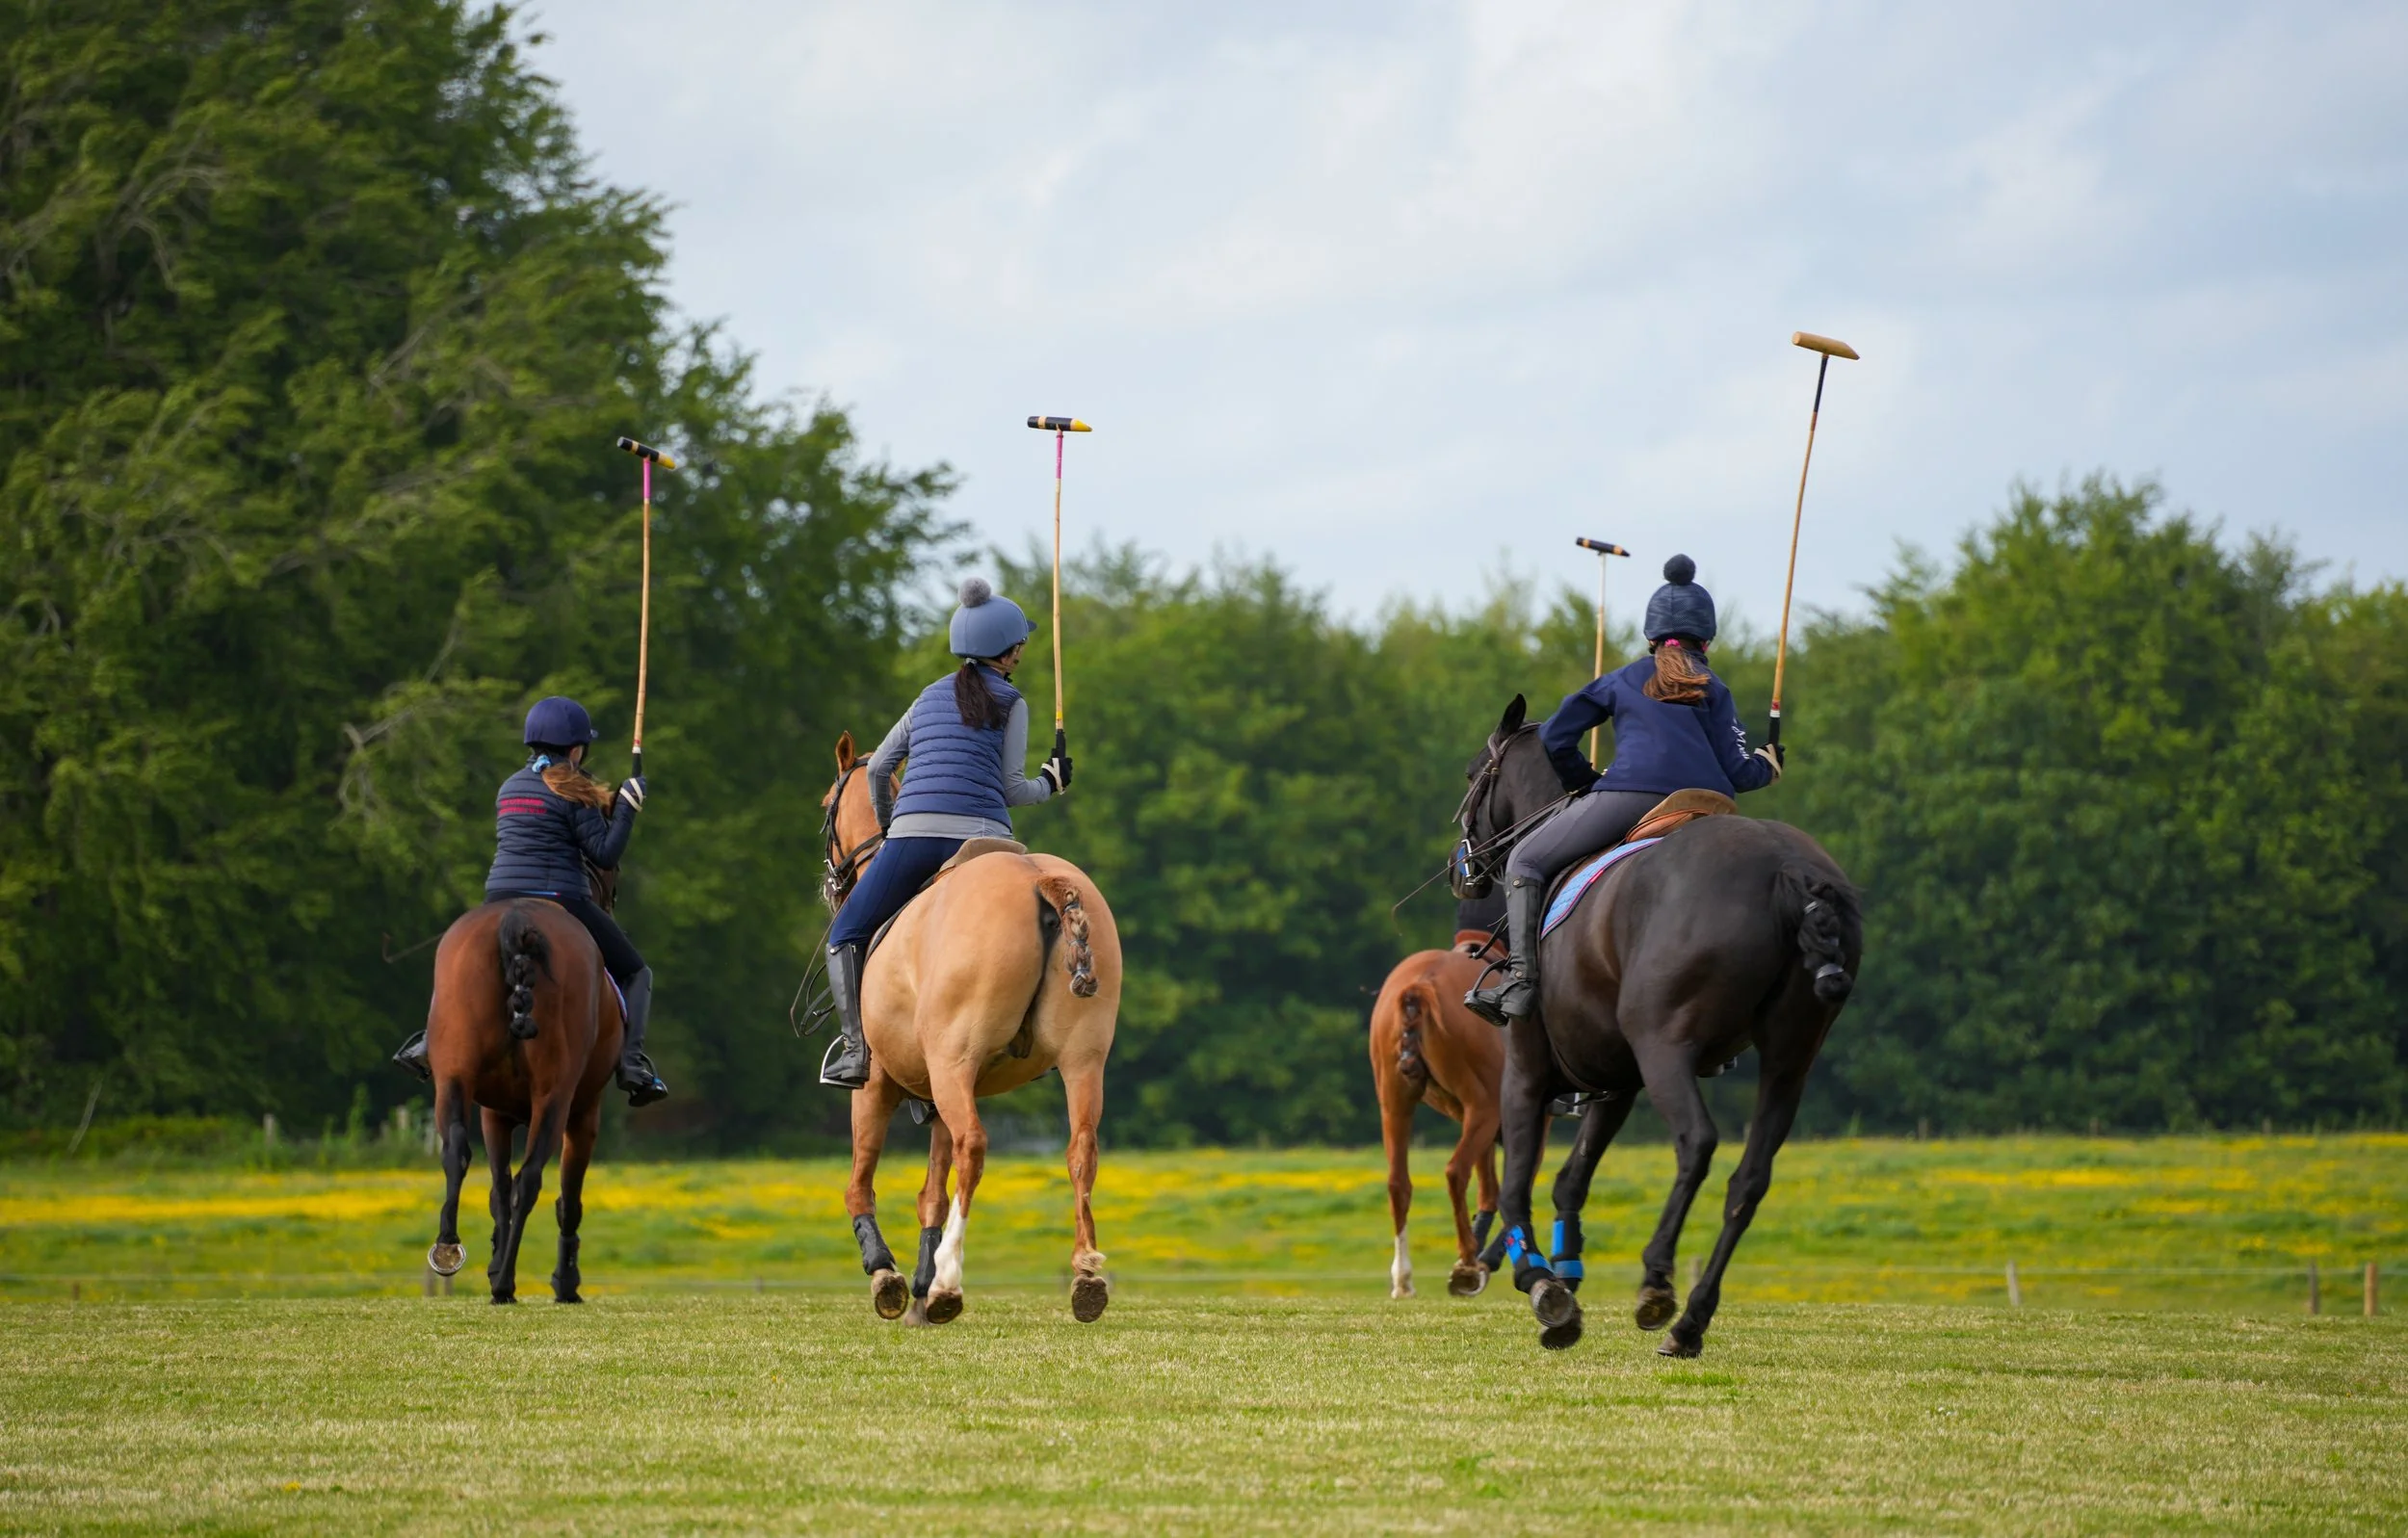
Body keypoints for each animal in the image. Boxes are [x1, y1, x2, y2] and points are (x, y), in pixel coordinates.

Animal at [423, 898, 622, 1304]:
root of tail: (517, 915)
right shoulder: (583, 1114)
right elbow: (567, 1201)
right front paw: (565, 1281)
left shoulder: (492, 1114)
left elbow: (498, 1191)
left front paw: (496, 1261)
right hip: (555, 1099)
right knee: (529, 1182)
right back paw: (505, 1283)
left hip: (453, 1080)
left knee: (457, 1153)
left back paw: (449, 1248)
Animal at [820, 731, 1123, 1325]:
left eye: (825, 806)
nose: (830, 886)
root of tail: (1040, 879)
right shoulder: (936, 1095)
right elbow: (931, 1193)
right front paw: (917, 1284)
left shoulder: (877, 1083)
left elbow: (861, 1184)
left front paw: (891, 1278)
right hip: (1082, 1060)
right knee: (1081, 1150)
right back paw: (1085, 1278)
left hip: (953, 1061)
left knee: (974, 1147)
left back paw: (948, 1284)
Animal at [1453, 694, 1861, 1355]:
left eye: (1472, 774)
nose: (1459, 869)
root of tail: (1790, 870)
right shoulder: (1613, 1081)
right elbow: (1571, 1180)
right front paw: (1567, 1284)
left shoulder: (1528, 1070)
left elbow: (1517, 1185)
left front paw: (1541, 1284)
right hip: (1789, 1058)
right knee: (1749, 1180)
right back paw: (1690, 1319)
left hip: (1664, 1046)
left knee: (1696, 1143)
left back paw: (1656, 1282)